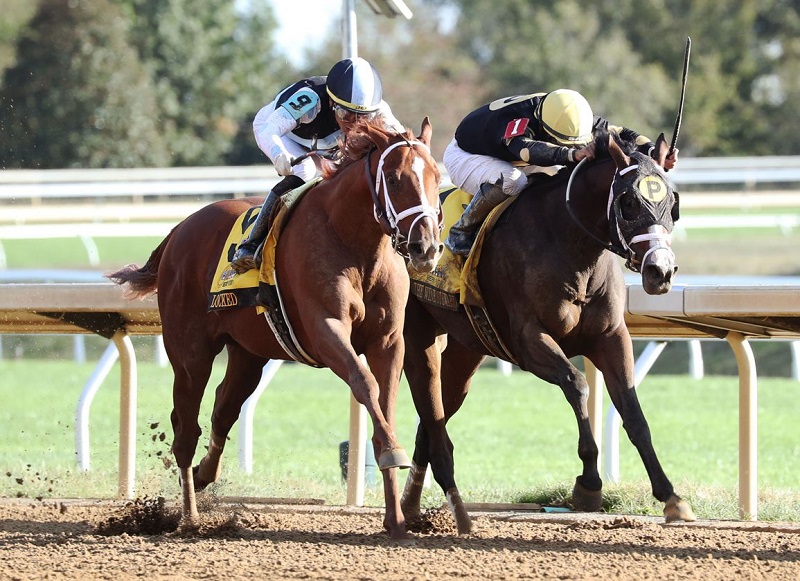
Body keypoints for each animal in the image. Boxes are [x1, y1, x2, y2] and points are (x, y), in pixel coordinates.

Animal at [108, 118, 444, 540]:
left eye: (437, 177)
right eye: (396, 180)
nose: (426, 248)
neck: (354, 242)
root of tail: (178, 230)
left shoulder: (388, 340)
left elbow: (384, 402)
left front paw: (395, 516)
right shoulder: (325, 330)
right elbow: (364, 383)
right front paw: (391, 454)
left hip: (248, 353)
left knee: (223, 410)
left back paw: (204, 475)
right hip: (190, 353)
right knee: (185, 428)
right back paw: (189, 517)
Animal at [404, 131, 696, 536]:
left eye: (672, 200)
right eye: (627, 202)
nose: (660, 271)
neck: (571, 247)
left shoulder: (611, 337)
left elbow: (634, 413)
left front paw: (671, 496)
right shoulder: (528, 341)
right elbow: (578, 385)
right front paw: (589, 484)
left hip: (465, 351)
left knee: (433, 416)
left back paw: (411, 507)